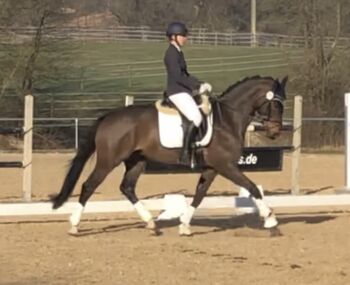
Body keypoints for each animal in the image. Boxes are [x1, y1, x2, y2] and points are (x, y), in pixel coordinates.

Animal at [51, 75, 288, 235]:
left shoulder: (212, 167)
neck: (227, 119)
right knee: (89, 186)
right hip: (108, 160)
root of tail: (108, 117)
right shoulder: (226, 165)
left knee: (127, 187)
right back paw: (74, 225)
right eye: (276, 104)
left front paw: (184, 225)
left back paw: (150, 223)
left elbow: (200, 194)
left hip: (137, 161)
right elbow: (252, 188)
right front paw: (271, 221)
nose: (275, 132)